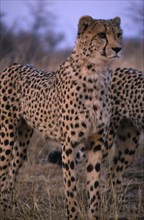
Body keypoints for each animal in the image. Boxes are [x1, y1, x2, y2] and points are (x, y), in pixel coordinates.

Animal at [0, 15, 122, 218]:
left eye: (119, 34)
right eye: (101, 35)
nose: (118, 48)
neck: (97, 72)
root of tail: (14, 65)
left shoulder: (96, 143)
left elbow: (94, 187)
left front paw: (93, 215)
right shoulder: (69, 144)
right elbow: (71, 188)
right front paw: (73, 215)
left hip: (23, 139)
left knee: (11, 173)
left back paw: (8, 209)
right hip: (6, 135)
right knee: (2, 170)